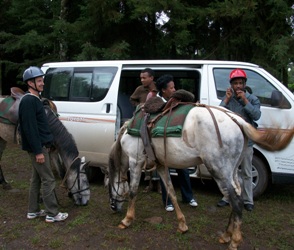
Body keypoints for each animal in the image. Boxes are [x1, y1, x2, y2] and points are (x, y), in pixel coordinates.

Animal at [108, 105, 294, 250]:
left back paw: (234, 240)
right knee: (236, 194)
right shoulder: (160, 165)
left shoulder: (135, 161)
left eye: (110, 186)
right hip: (232, 171)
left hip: (219, 170)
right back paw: (226, 235)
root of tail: (236, 120)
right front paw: (182, 224)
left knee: (235, 200)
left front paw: (127, 220)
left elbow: (133, 191)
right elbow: (171, 192)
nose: (113, 207)